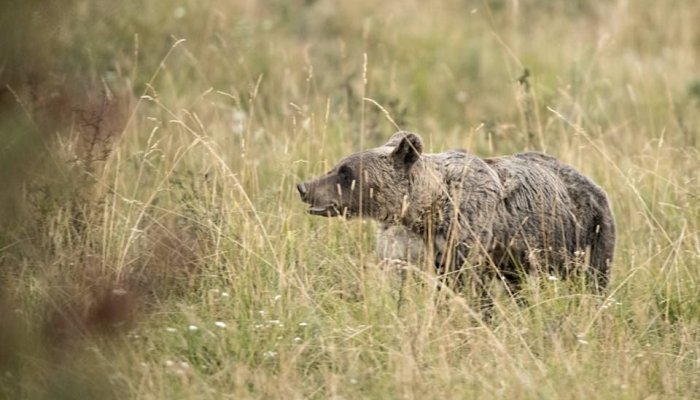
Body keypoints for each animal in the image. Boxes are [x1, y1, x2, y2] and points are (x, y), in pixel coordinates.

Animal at [298, 132, 616, 296]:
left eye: (345, 171)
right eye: (337, 166)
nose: (304, 187)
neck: (430, 208)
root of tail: (594, 183)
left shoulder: (470, 232)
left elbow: (468, 285)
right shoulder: (427, 247)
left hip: (587, 234)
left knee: (593, 279)